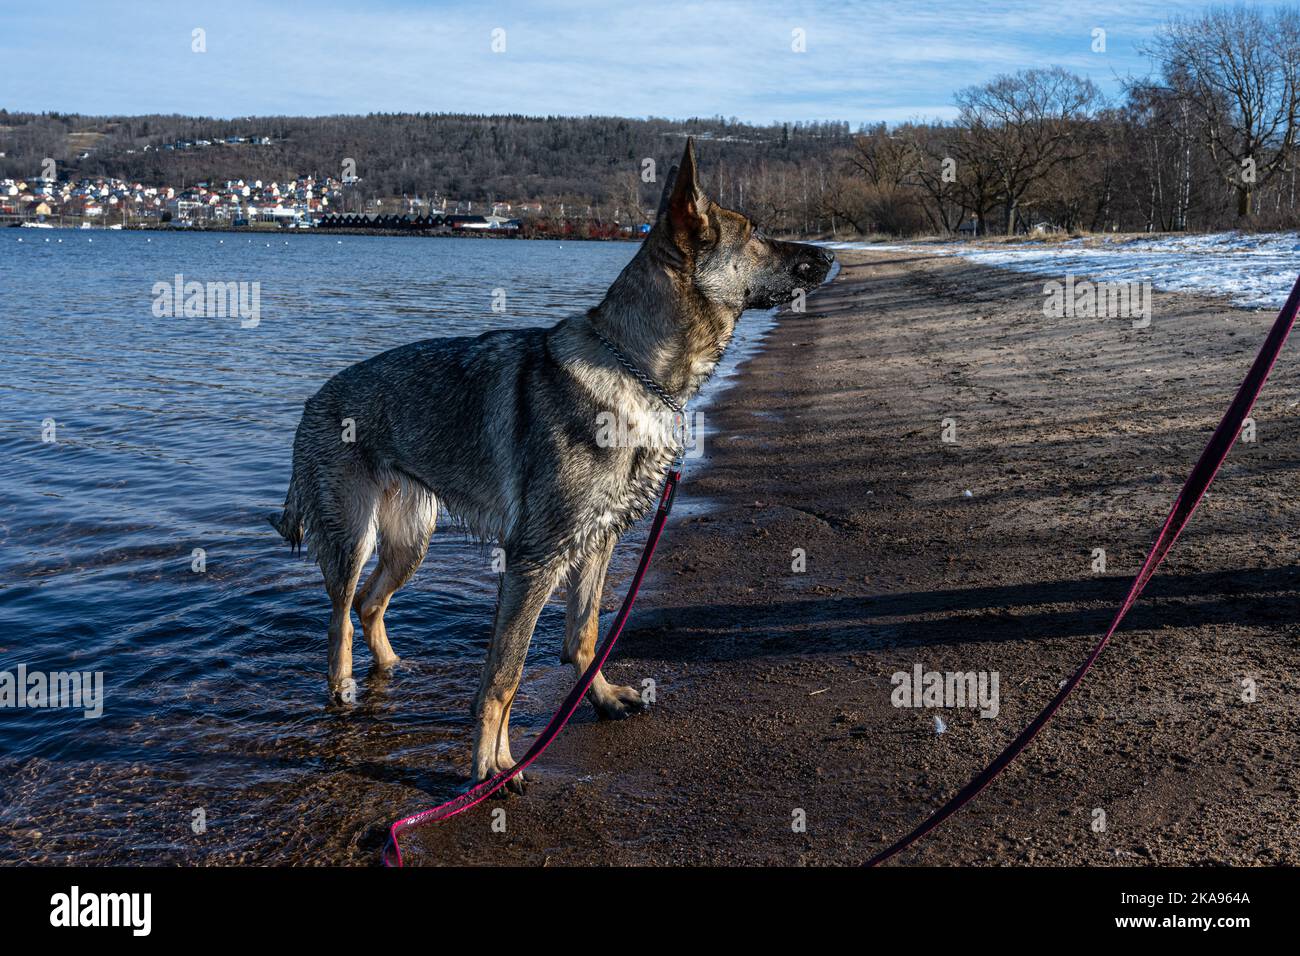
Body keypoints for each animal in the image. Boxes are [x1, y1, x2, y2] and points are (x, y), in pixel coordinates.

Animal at [273, 140, 832, 785]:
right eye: (757, 233)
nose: (831, 255)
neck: (633, 365)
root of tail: (314, 400)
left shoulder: (597, 543)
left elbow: (584, 637)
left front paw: (603, 697)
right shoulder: (535, 560)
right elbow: (504, 675)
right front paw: (489, 765)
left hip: (411, 542)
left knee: (369, 605)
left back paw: (391, 667)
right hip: (354, 541)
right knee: (338, 616)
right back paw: (343, 689)